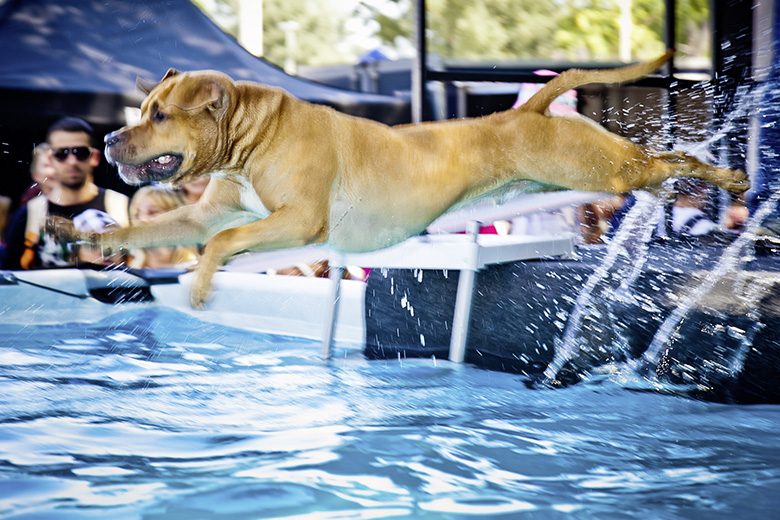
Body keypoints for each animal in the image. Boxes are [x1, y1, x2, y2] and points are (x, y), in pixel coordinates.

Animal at [82, 49, 748, 304]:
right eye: (143, 110)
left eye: (160, 115)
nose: (109, 138)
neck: (247, 137)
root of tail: (530, 109)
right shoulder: (205, 210)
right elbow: (180, 228)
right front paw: (91, 237)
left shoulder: (299, 219)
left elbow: (221, 241)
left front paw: (198, 282)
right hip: (603, 169)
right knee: (663, 166)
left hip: (598, 168)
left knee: (667, 161)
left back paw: (731, 180)